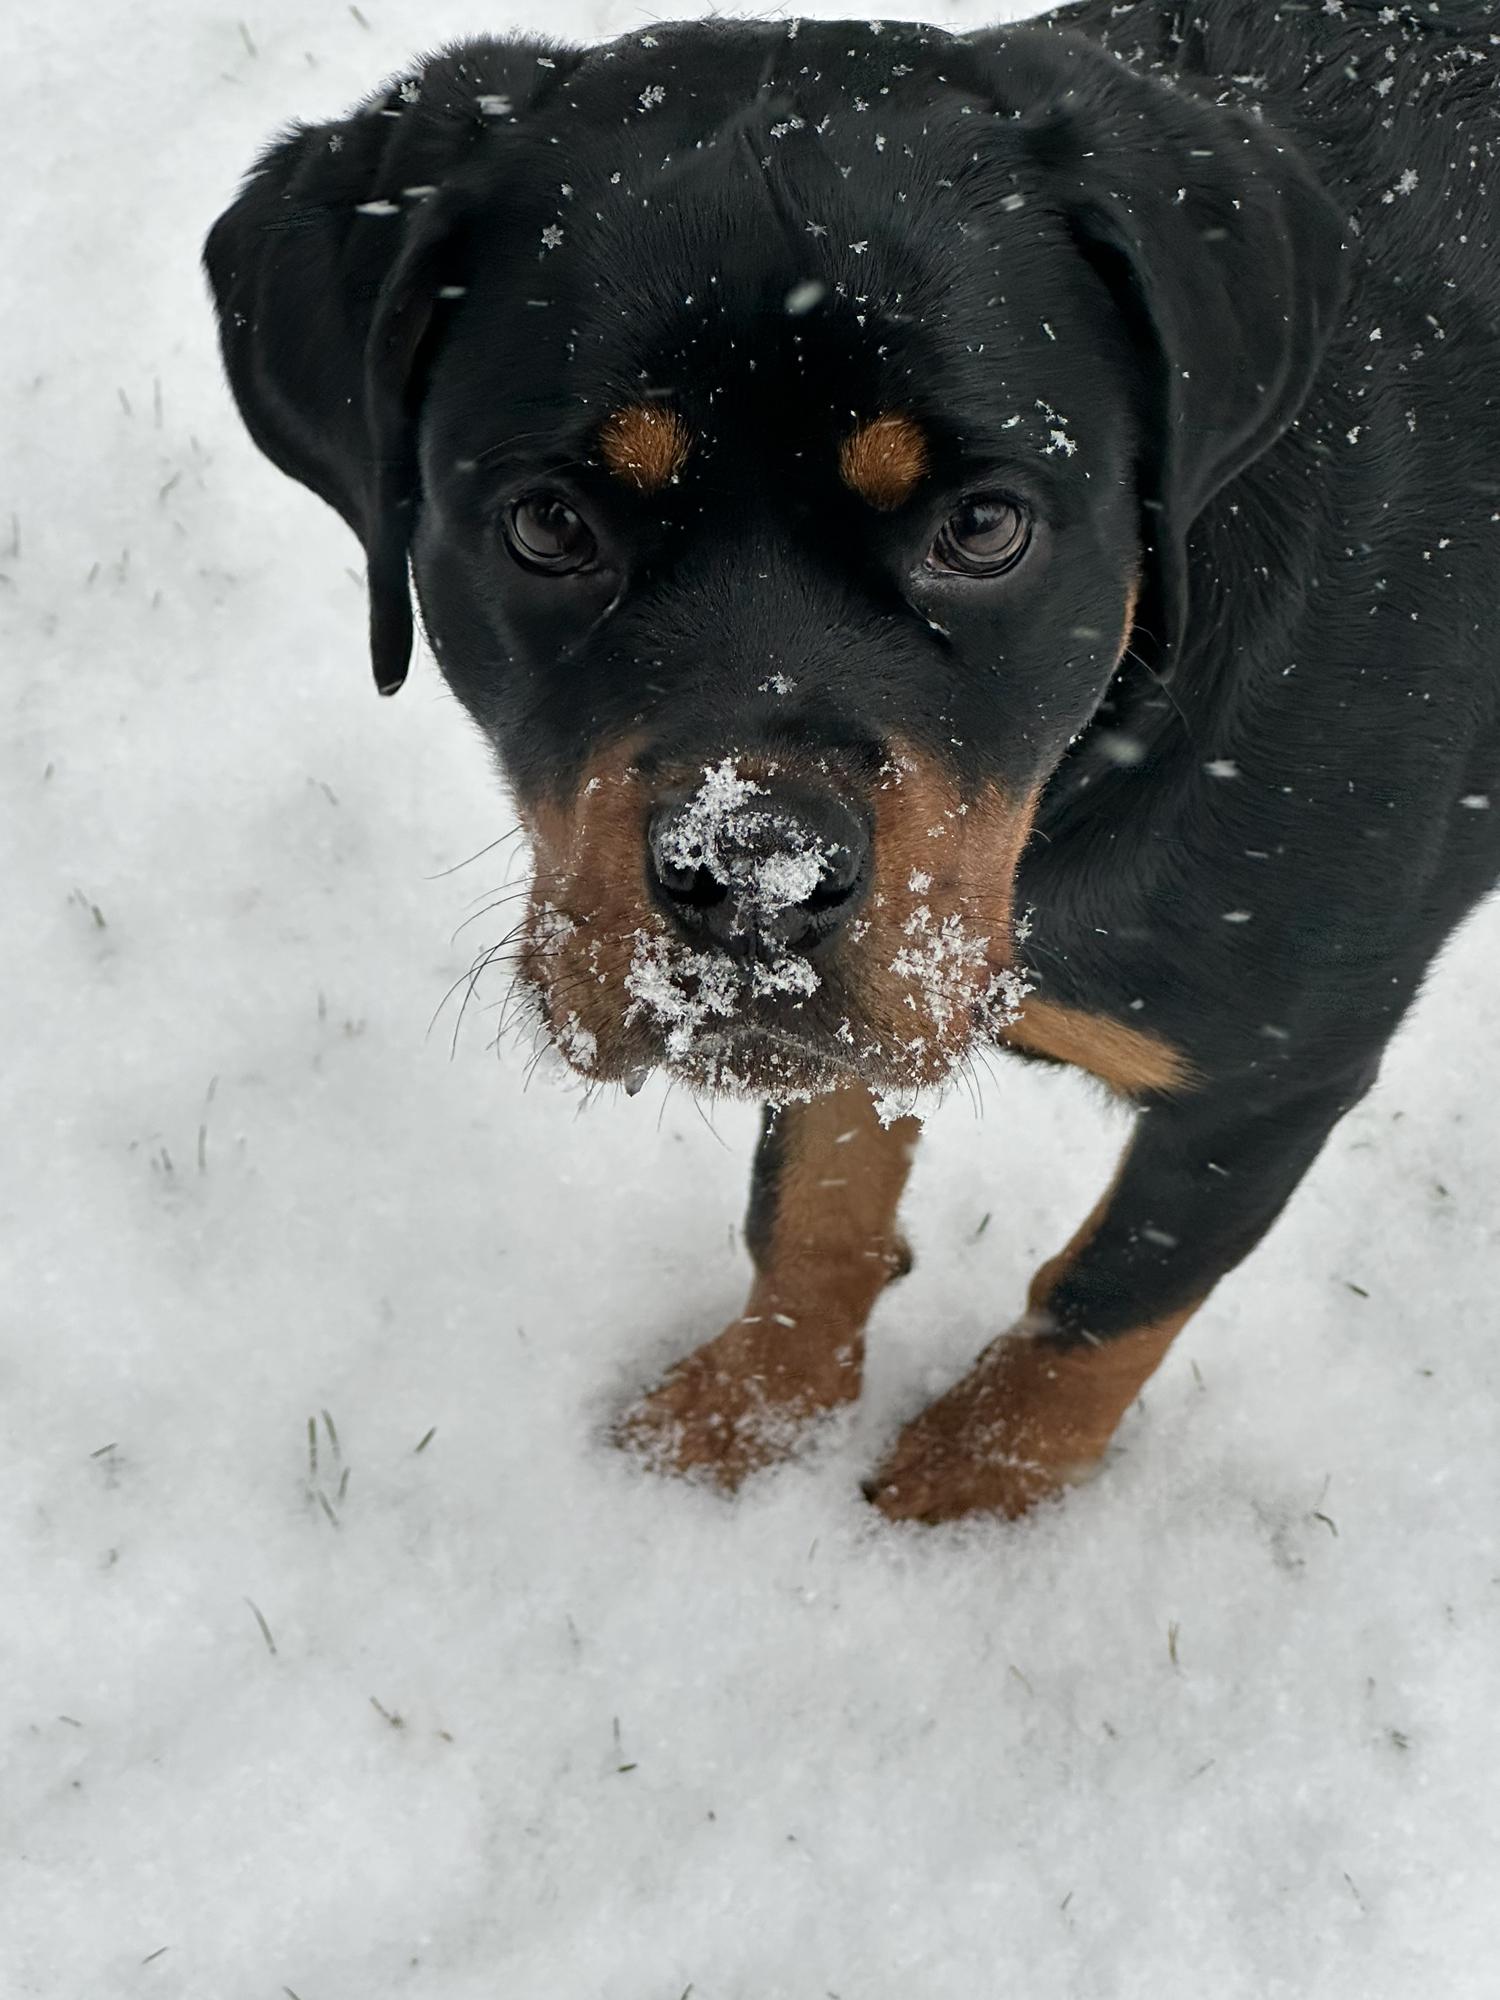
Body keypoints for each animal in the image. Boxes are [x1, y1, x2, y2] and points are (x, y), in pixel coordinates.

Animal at [203, 0, 1500, 1520]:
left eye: (986, 527)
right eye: (545, 525)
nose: (752, 876)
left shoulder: (1281, 1066)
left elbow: (1117, 1290)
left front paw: (971, 1492)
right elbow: (812, 1190)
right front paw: (753, 1410)